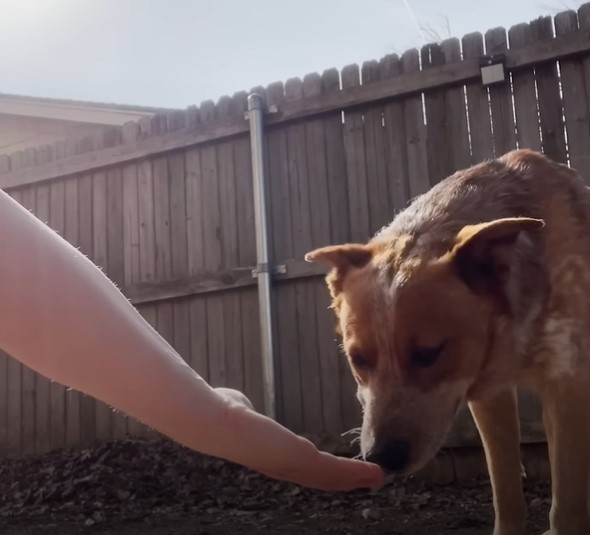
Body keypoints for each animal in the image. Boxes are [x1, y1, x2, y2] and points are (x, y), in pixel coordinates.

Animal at [308, 150, 590, 535]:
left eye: (429, 353)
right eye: (358, 359)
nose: (381, 456)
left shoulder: (567, 385)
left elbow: (567, 508)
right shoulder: (490, 396)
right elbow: (506, 490)